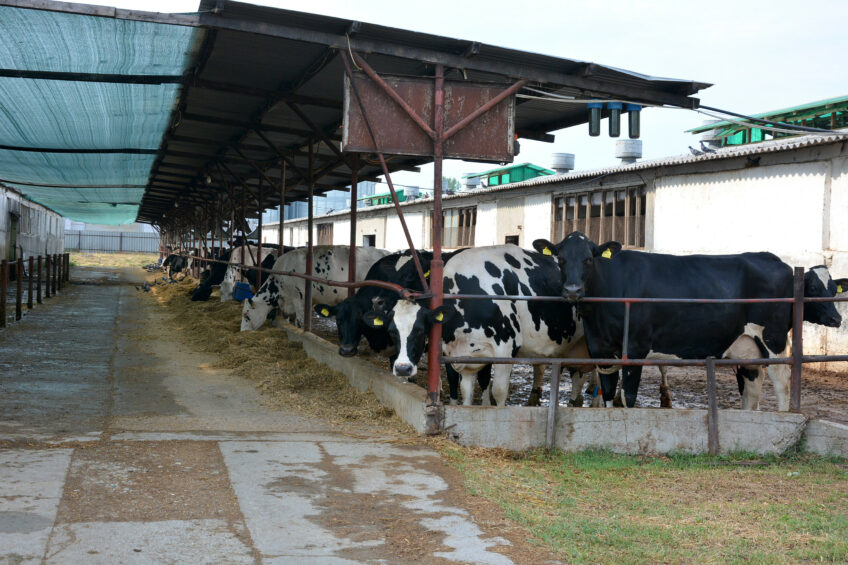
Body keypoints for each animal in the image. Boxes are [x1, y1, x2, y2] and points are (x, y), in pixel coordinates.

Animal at [242, 243, 390, 330]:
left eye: (247, 316)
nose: (242, 331)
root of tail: (385, 252)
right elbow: (287, 318)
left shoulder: (299, 299)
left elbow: (300, 321)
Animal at [362, 242, 596, 406]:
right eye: (393, 332)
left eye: (420, 330)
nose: (402, 368)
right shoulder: (462, 356)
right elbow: (466, 392)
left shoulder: (505, 349)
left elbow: (498, 392)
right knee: (578, 374)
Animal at [532, 231, 844, 412]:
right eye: (560, 259)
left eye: (588, 259)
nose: (572, 290)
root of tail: (776, 260)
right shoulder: (601, 349)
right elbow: (609, 395)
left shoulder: (635, 347)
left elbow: (629, 396)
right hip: (748, 348)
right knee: (753, 388)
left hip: (774, 338)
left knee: (782, 382)